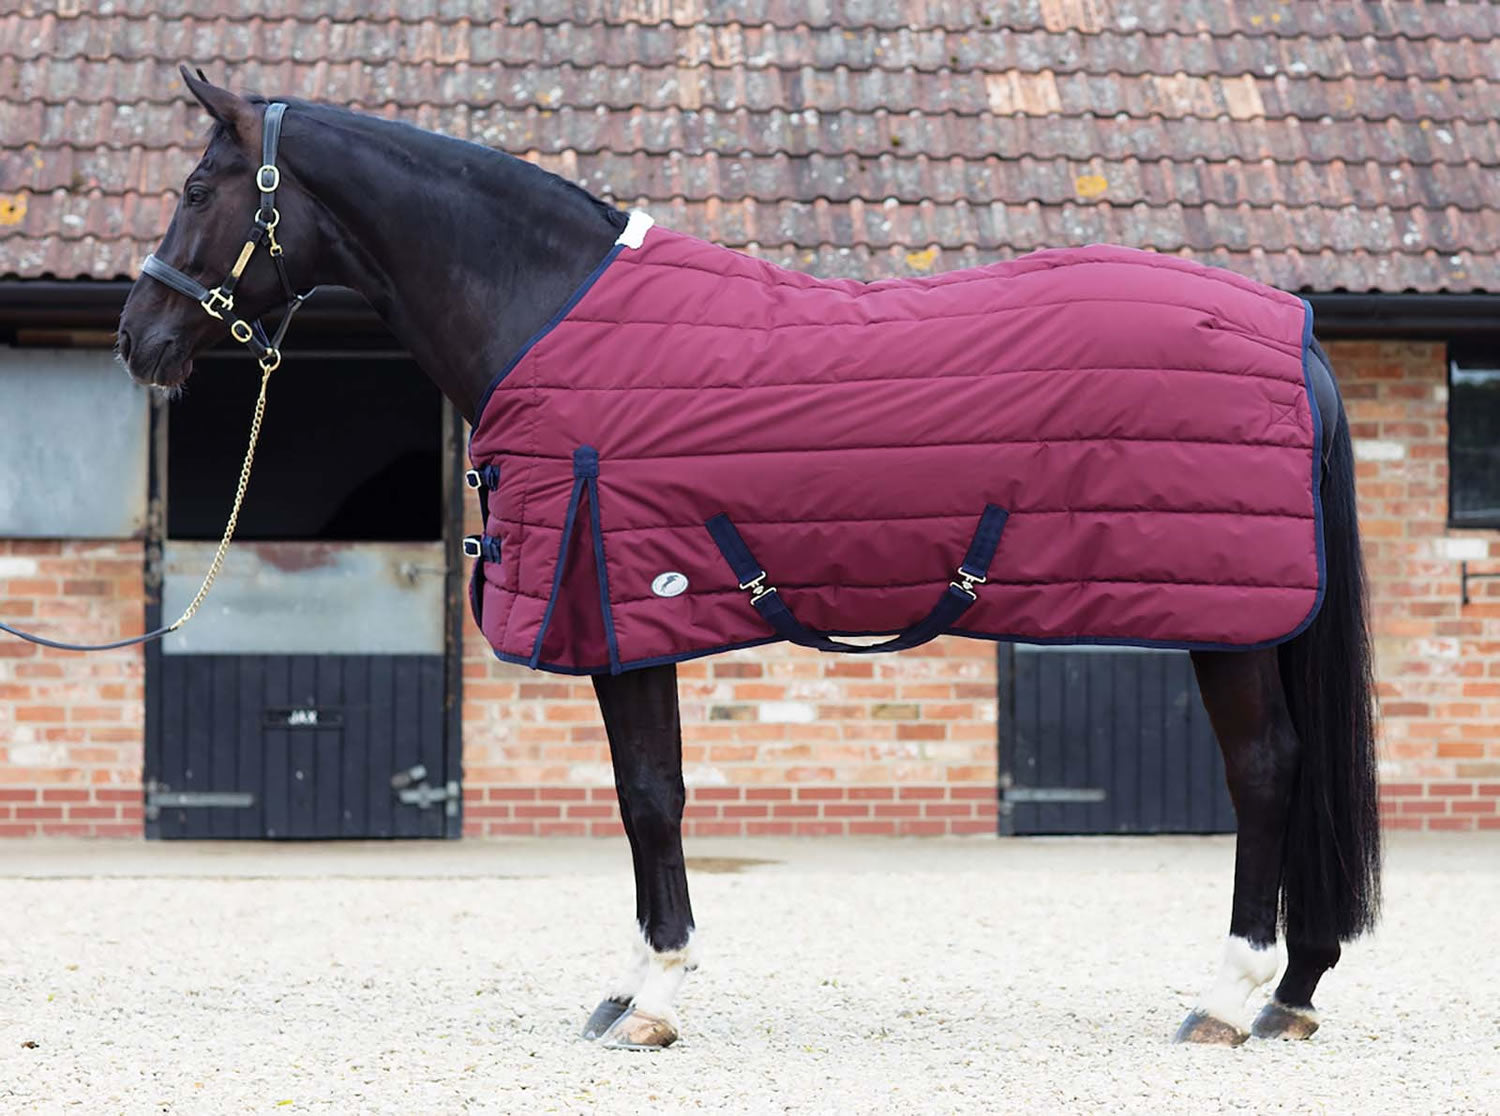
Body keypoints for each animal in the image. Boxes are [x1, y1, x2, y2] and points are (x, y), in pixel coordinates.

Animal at [116, 69, 1381, 1050]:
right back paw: (1294, 993)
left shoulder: (618, 612)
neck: (544, 311)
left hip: (1227, 621)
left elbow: (649, 796)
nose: (140, 338)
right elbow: (651, 794)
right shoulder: (631, 613)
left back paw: (1227, 997)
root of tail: (1295, 333)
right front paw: (633, 986)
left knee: (1266, 769)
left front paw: (652, 997)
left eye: (194, 191)